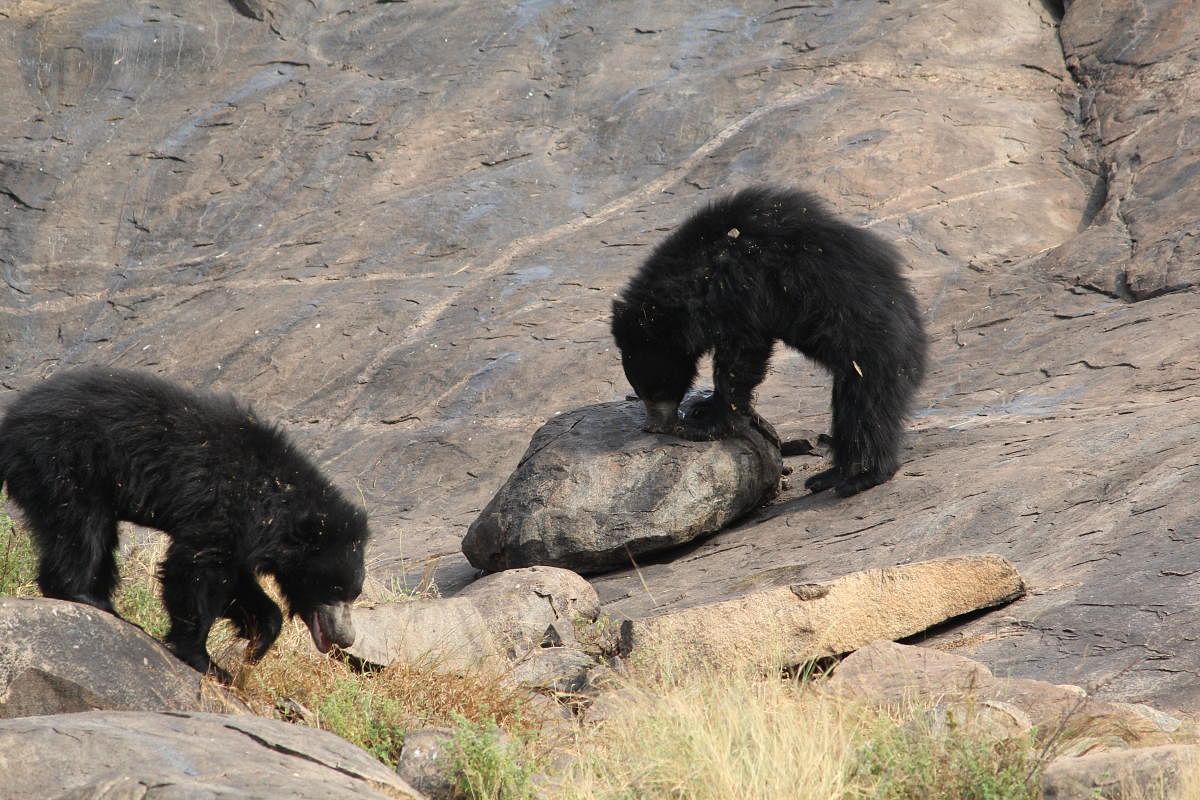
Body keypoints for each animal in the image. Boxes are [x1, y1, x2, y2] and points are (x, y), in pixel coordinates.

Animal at [0, 367, 367, 681]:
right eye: (334, 590)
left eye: (353, 594)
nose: (346, 638)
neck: (277, 500)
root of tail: (11, 422)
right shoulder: (223, 506)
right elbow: (195, 572)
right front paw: (208, 663)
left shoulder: (241, 535)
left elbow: (234, 580)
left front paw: (256, 642)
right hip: (66, 460)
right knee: (80, 527)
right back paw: (86, 596)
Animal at [609, 189, 926, 501]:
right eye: (641, 389)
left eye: (655, 388)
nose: (654, 426)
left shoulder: (743, 286)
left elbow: (742, 354)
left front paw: (702, 421)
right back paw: (828, 476)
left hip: (869, 347)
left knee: (866, 409)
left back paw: (862, 477)